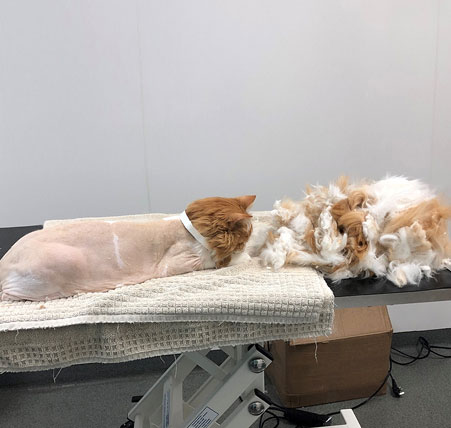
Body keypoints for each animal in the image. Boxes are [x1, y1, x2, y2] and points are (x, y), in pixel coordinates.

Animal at [0, 195, 255, 301]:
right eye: (244, 237)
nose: (247, 244)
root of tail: (4, 262)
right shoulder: (180, 261)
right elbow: (220, 259)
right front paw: (246, 256)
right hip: (63, 261)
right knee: (9, 296)